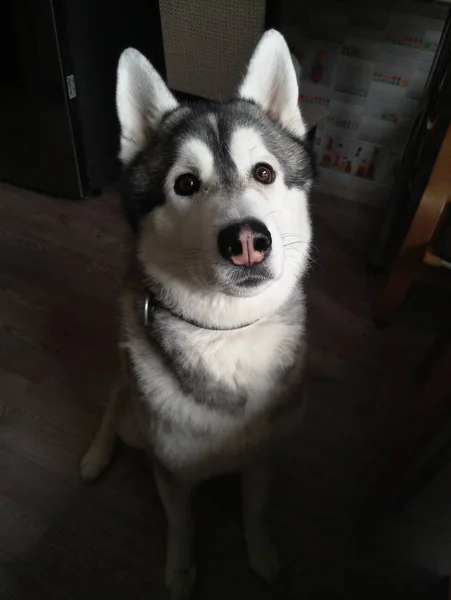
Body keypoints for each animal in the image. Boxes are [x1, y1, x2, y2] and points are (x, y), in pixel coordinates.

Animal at [80, 30, 314, 600]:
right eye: (185, 184)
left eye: (264, 172)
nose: (247, 240)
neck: (229, 335)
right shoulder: (171, 469)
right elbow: (182, 524)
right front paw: (181, 572)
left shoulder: (262, 457)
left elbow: (255, 510)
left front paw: (262, 553)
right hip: (135, 423)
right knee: (117, 397)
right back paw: (96, 457)